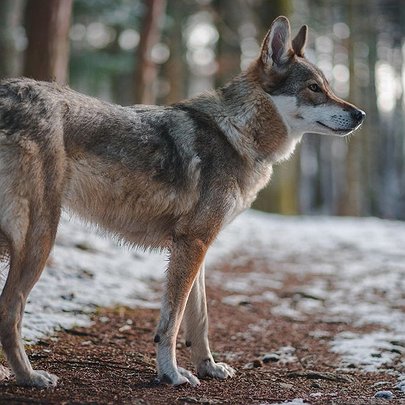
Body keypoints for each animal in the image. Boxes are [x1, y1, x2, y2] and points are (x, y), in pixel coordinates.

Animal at [0, 15, 362, 386]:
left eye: (328, 86)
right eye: (314, 88)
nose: (360, 114)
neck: (236, 133)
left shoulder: (196, 246)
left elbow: (199, 320)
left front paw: (209, 367)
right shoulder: (193, 243)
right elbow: (171, 323)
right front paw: (171, 374)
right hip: (40, 238)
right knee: (9, 312)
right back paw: (29, 376)